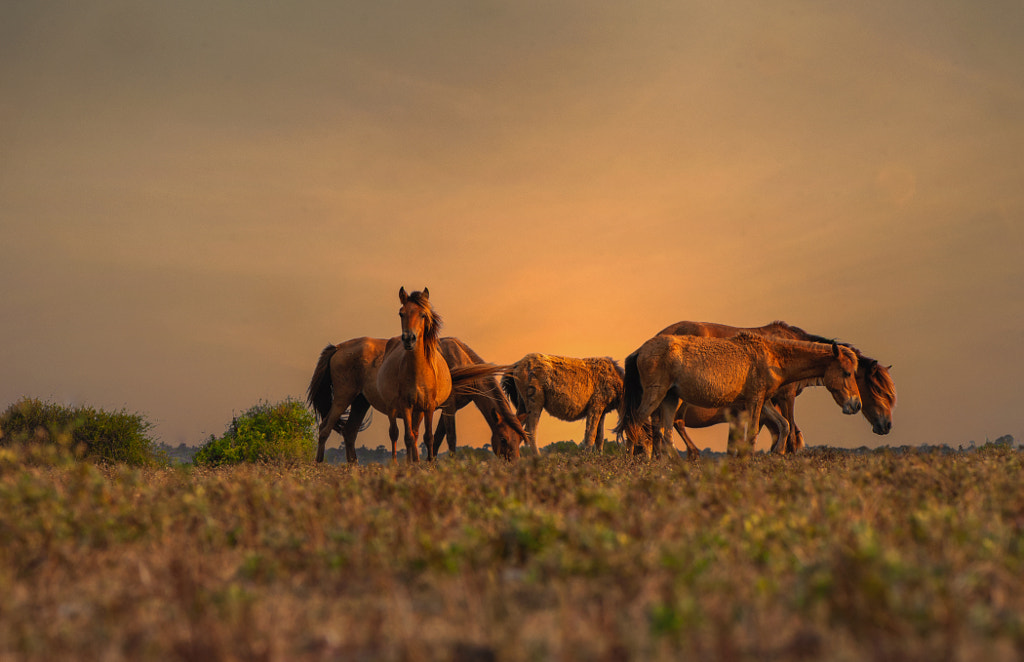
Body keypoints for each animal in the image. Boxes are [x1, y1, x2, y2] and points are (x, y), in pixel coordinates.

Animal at [614, 334, 864, 459]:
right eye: (846, 372)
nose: (856, 405)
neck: (772, 355)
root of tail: (641, 350)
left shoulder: (762, 400)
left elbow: (783, 425)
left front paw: (777, 452)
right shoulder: (755, 400)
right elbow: (752, 433)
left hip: (669, 399)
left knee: (664, 433)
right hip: (656, 396)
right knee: (635, 423)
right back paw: (633, 462)